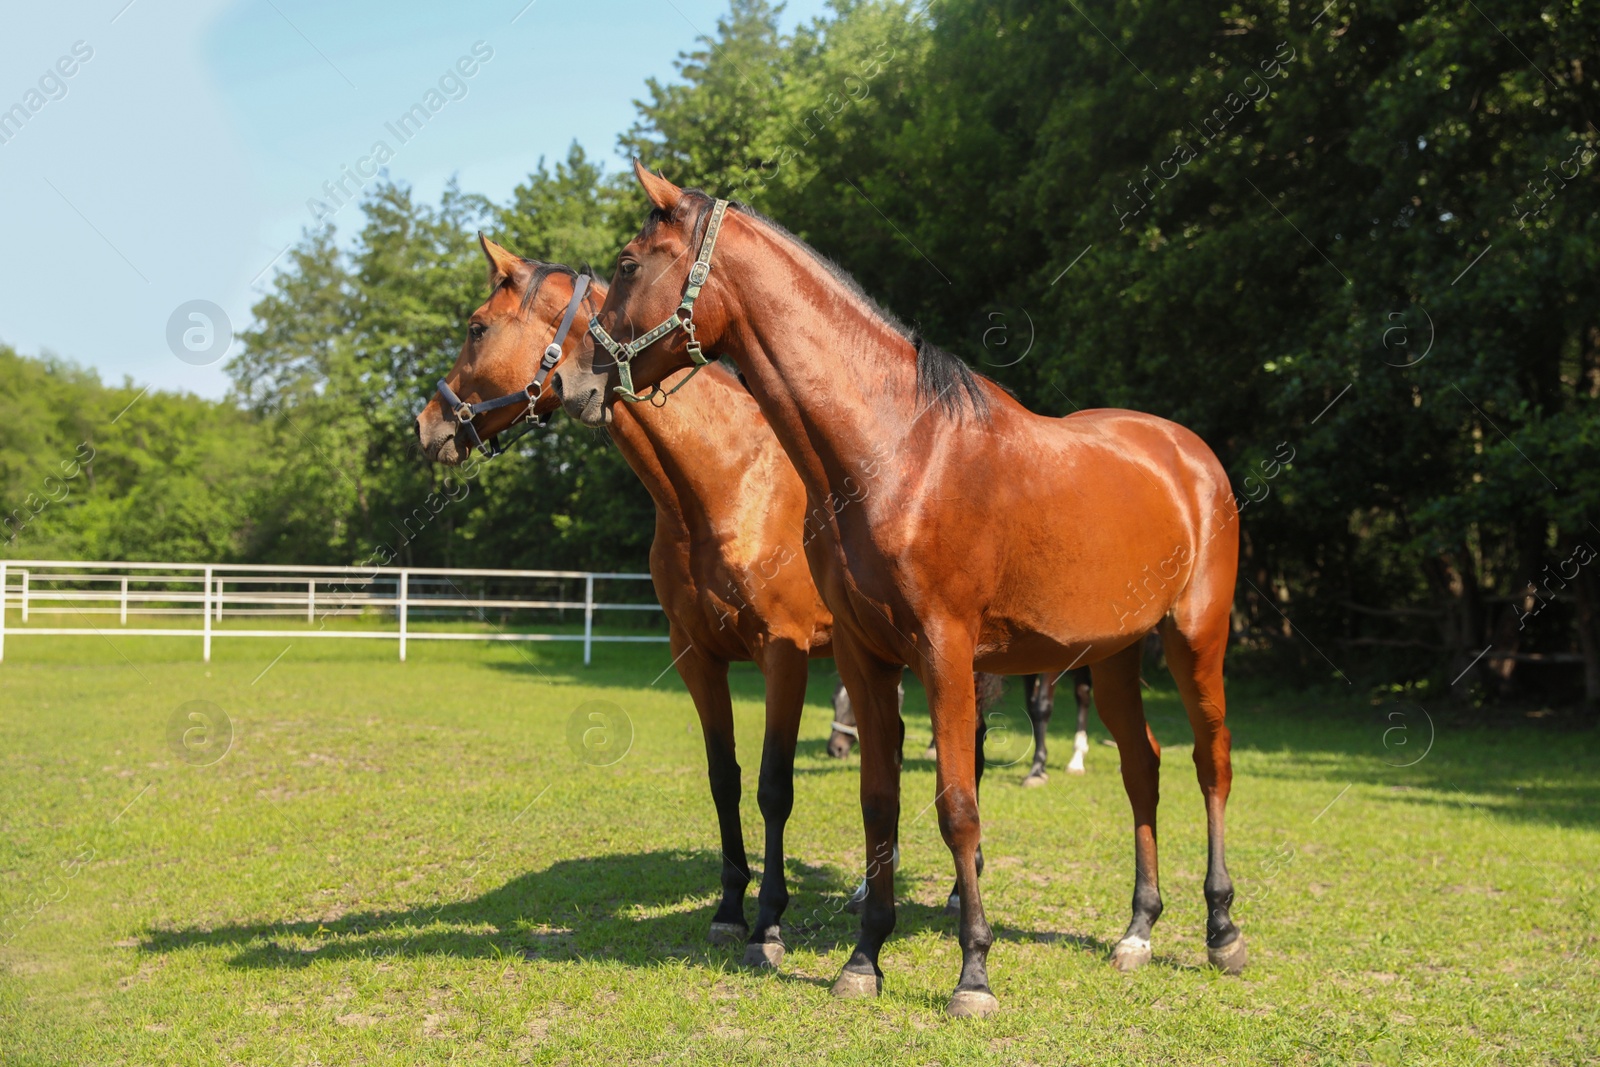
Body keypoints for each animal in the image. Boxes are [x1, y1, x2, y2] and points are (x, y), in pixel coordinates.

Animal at [556, 160, 1241, 1017]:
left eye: (626, 264)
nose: (573, 381)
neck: (897, 451)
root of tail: (1191, 455)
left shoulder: (944, 651)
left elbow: (957, 805)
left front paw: (973, 972)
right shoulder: (863, 654)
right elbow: (878, 801)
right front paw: (864, 957)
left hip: (1195, 639)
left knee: (1210, 763)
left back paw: (1221, 930)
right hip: (1112, 654)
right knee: (1141, 768)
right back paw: (1138, 930)